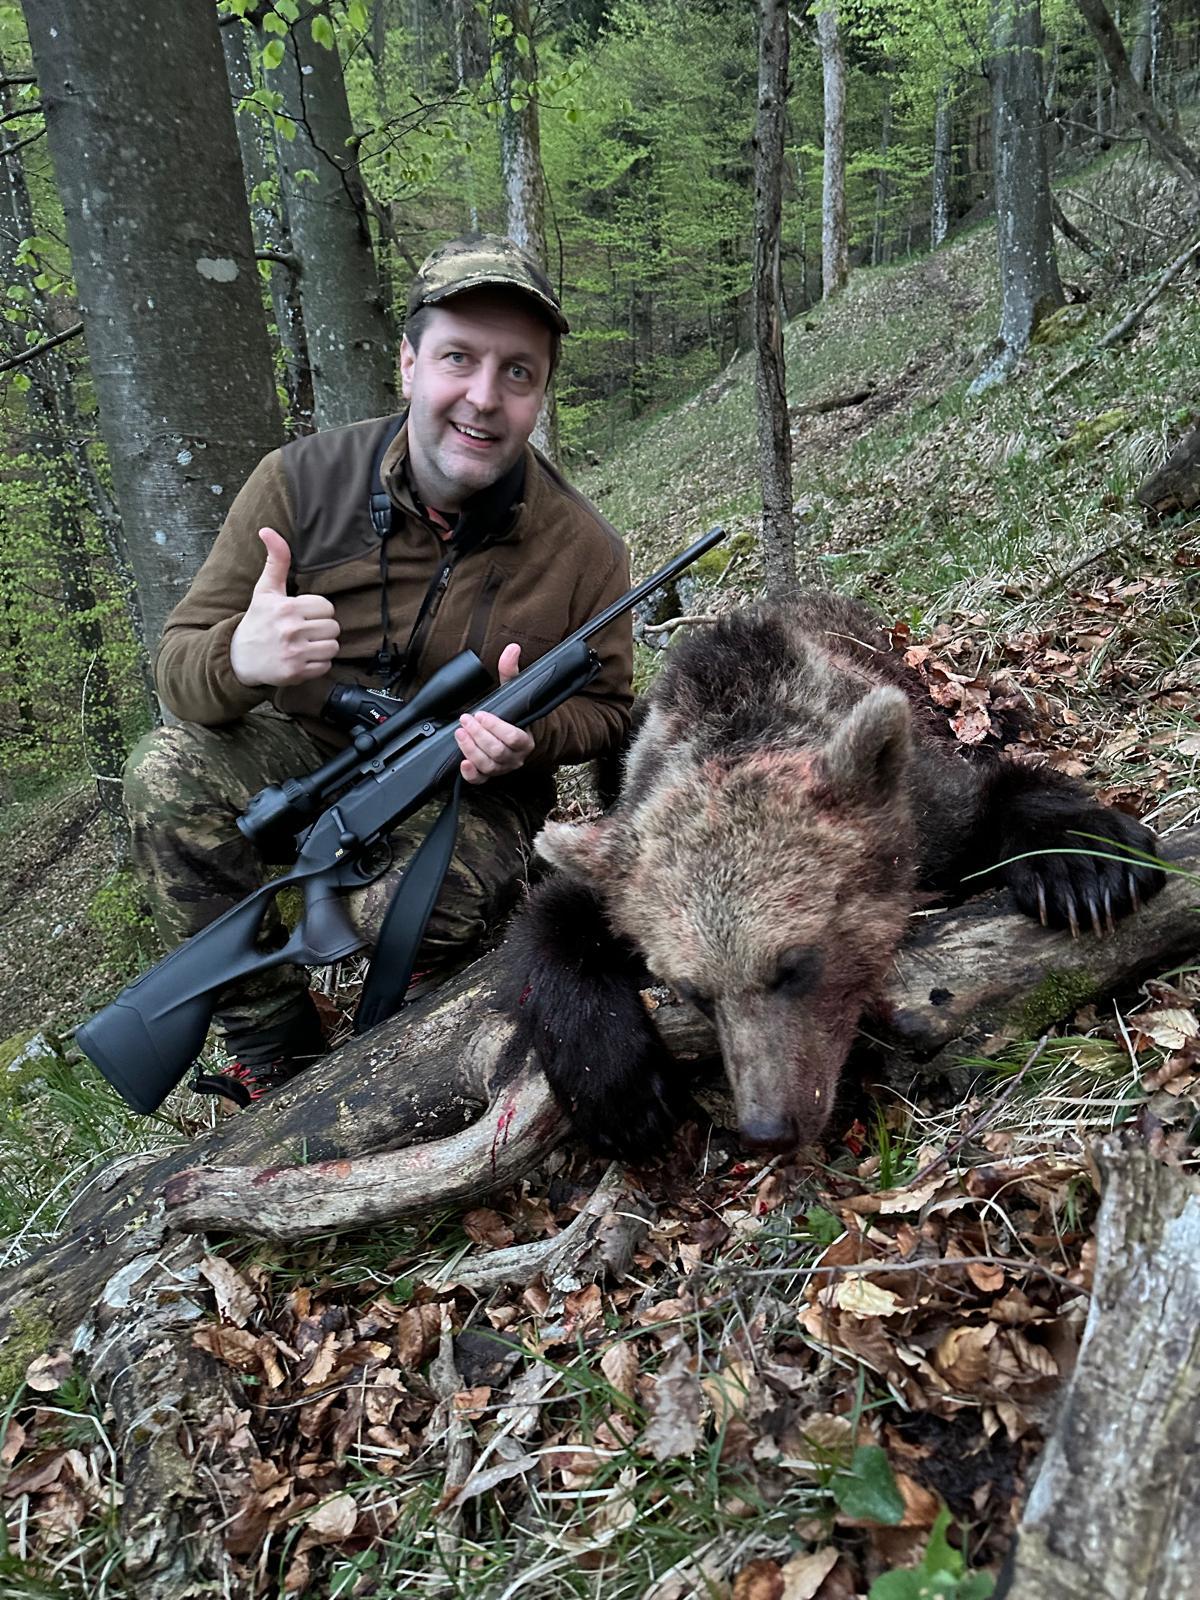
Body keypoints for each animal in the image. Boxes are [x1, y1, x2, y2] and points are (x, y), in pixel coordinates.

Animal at [496, 592, 1165, 1161]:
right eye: (693, 992)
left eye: (796, 965)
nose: (767, 1129)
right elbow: (551, 920)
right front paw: (621, 1095)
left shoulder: (922, 801)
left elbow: (995, 797)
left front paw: (1090, 867)